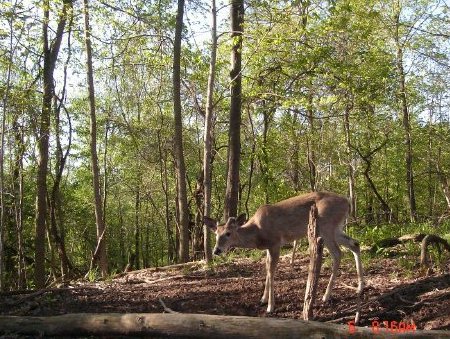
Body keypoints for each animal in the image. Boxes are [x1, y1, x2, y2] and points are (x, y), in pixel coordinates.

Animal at [204, 191, 366, 314]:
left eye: (228, 233)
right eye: (215, 234)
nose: (216, 250)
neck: (258, 233)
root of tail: (347, 202)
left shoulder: (275, 243)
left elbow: (271, 271)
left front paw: (270, 306)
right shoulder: (269, 247)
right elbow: (267, 268)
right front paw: (263, 299)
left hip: (326, 226)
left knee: (337, 254)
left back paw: (326, 296)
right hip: (336, 229)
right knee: (355, 244)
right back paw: (360, 287)